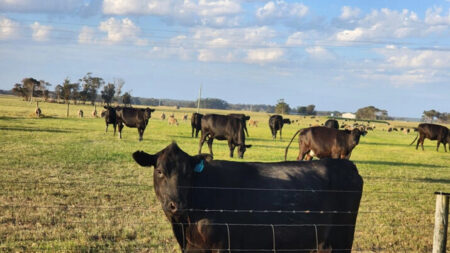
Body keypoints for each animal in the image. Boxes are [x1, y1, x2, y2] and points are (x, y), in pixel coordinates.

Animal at [132, 142, 364, 253]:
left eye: (188, 173)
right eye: (159, 171)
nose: (177, 204)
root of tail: (347, 165)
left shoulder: (223, 244)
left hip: (341, 240)